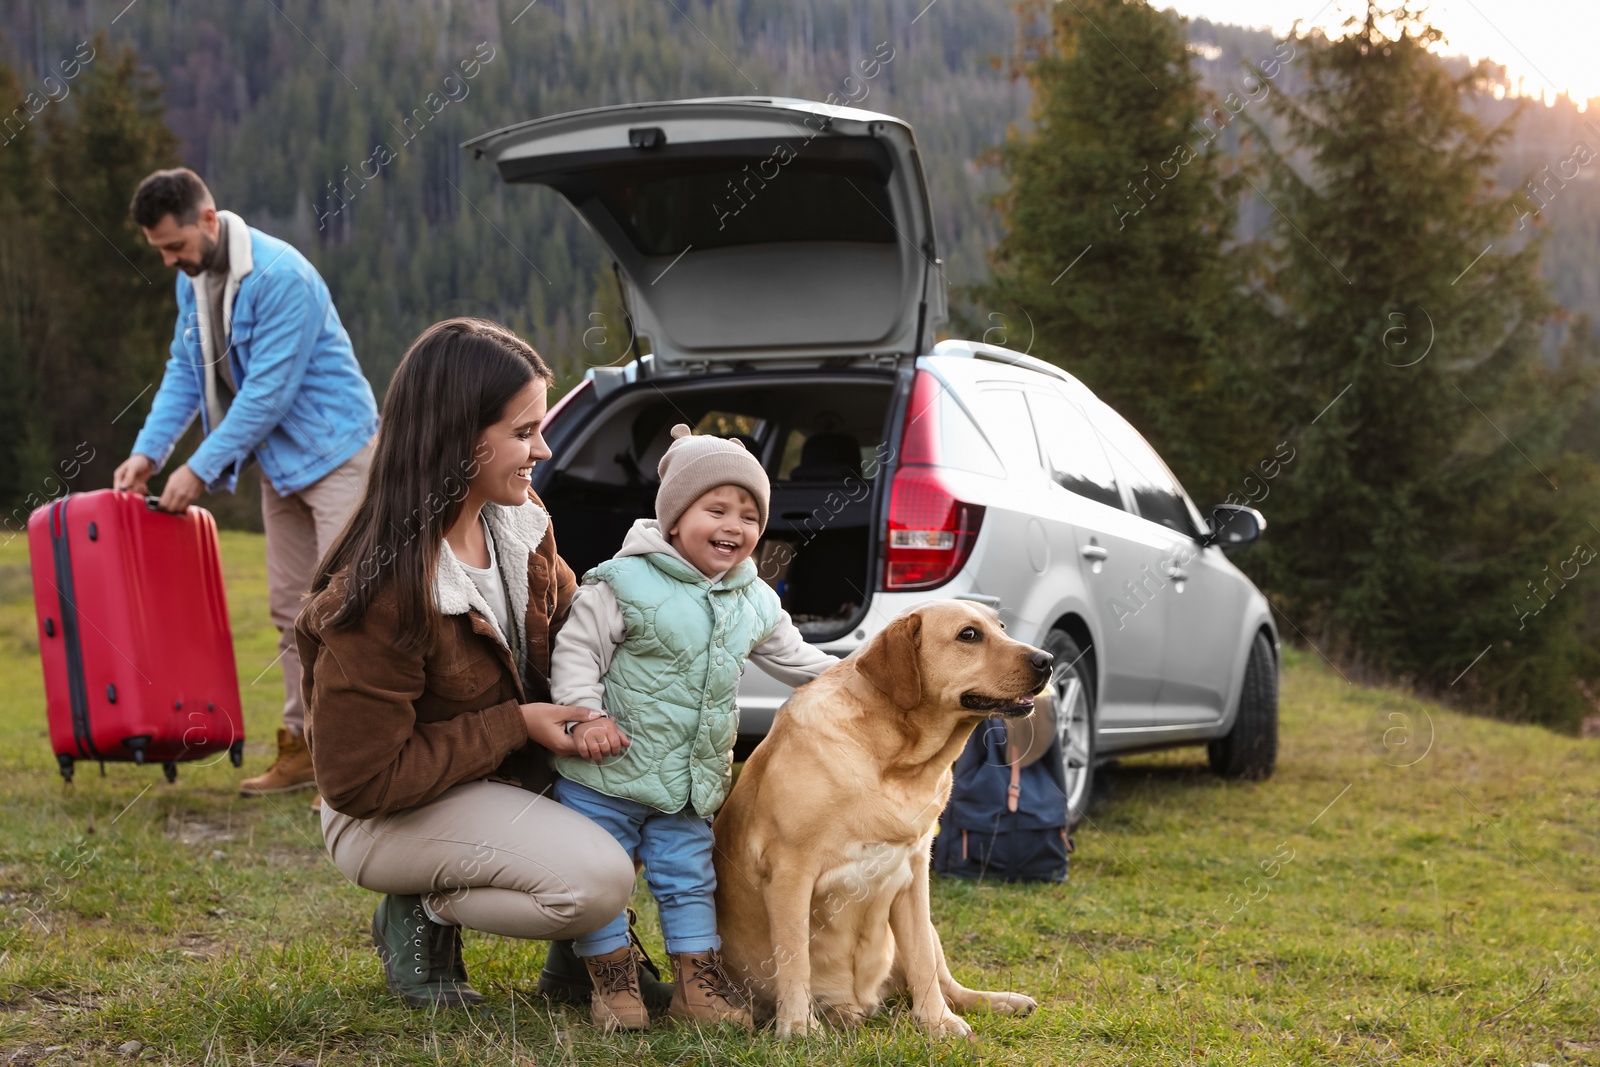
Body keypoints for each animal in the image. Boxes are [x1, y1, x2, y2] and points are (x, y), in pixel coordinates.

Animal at [713, 604, 1049, 1036]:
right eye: (969, 635)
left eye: (1002, 627)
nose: (1047, 660)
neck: (896, 761)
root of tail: (863, 1003)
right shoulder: (789, 872)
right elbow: (794, 958)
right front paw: (799, 1028)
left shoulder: (914, 876)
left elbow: (922, 960)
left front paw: (937, 1022)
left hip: (931, 928)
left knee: (947, 980)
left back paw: (1000, 1001)